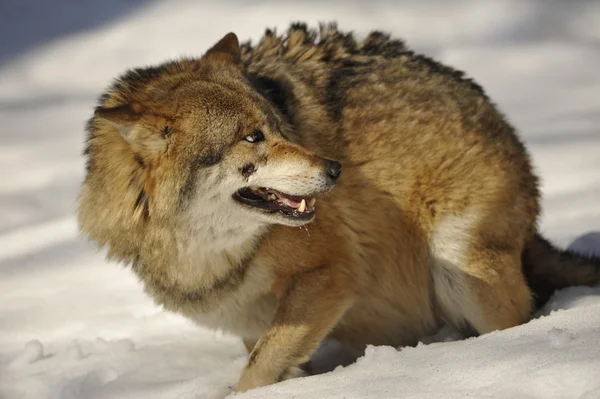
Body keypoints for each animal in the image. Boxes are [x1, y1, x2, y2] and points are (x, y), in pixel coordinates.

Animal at [78, 23, 600, 392]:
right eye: (253, 138)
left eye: (278, 125)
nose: (335, 169)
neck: (205, 251)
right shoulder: (254, 321)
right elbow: (268, 361)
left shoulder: (332, 274)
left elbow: (254, 375)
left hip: (458, 262)